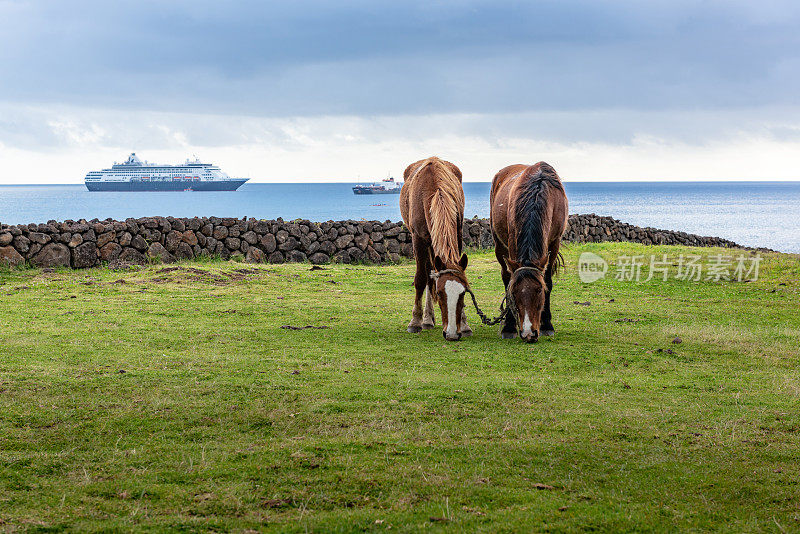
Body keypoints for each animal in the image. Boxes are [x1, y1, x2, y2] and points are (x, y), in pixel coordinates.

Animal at [398, 157, 468, 342]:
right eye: (440, 293)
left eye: (463, 293)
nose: (452, 333)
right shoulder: (418, 239)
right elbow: (421, 279)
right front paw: (415, 321)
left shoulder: (457, 233)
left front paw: (464, 323)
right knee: (428, 274)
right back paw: (427, 319)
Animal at [488, 161, 568, 344]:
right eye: (515, 292)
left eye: (539, 290)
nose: (529, 333)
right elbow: (509, 281)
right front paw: (509, 328)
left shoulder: (554, 243)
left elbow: (548, 281)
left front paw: (547, 325)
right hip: (499, 245)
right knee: (505, 276)